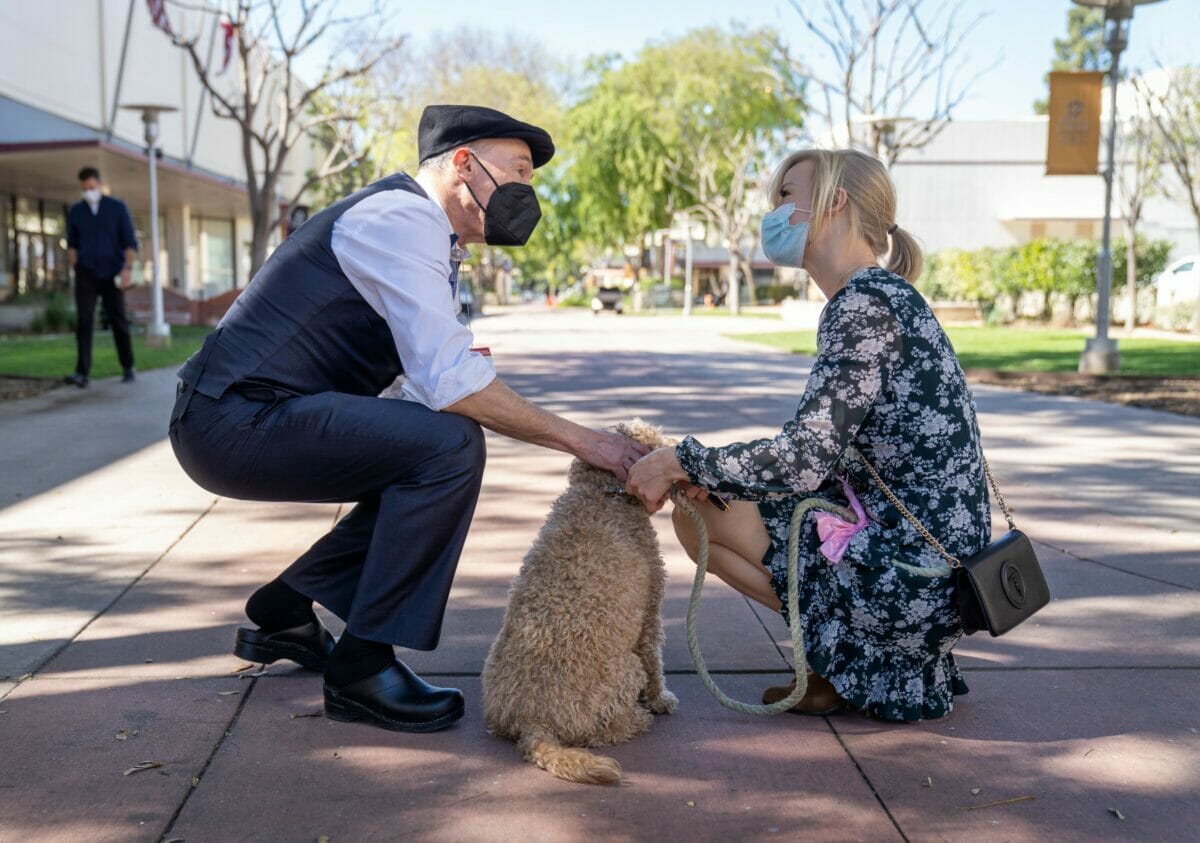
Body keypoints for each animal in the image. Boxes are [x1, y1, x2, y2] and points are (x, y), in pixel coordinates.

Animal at [484, 420, 676, 787]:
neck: (601, 493)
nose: (676, 447)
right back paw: (637, 719)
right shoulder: (650, 612)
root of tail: (533, 723)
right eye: (654, 439)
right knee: (605, 730)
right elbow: (655, 661)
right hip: (626, 671)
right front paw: (661, 699)